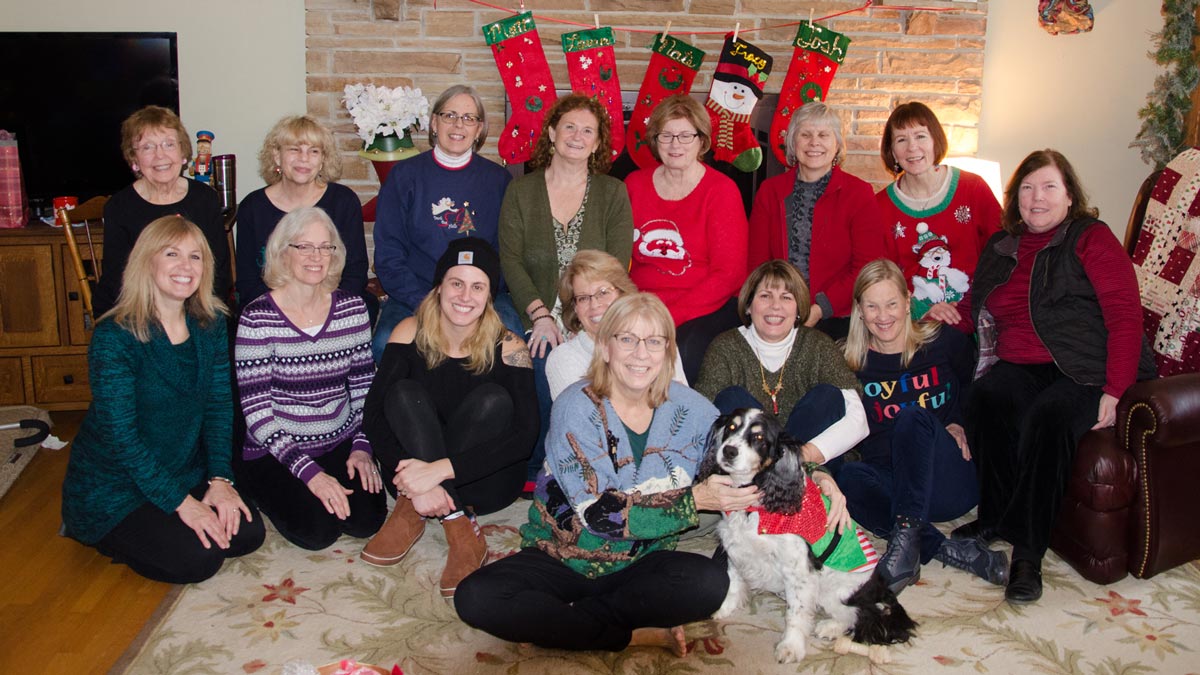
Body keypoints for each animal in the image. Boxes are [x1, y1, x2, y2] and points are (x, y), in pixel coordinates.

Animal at [700, 408, 912, 658]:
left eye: (759, 437)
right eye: (731, 428)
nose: (729, 451)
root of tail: (880, 589)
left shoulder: (797, 569)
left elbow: (796, 612)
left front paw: (790, 647)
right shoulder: (735, 548)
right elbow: (733, 583)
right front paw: (723, 609)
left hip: (836, 590)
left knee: (863, 616)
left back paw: (830, 627)